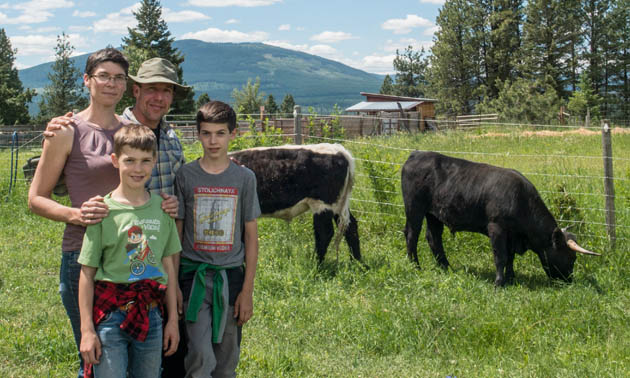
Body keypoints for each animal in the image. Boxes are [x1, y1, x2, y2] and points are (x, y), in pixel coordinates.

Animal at [231, 143, 360, 264]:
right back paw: (357, 262)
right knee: (351, 227)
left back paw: (316, 264)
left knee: (324, 233)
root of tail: (339, 150)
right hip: (338, 203)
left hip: (322, 203)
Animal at [402, 151, 600, 286]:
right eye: (571, 257)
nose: (568, 280)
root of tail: (417, 154)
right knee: (412, 235)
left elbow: (510, 257)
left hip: (434, 215)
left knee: (434, 238)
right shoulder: (496, 228)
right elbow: (501, 256)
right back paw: (415, 266)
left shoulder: (512, 235)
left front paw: (511, 278)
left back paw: (446, 268)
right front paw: (499, 282)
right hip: (414, 208)